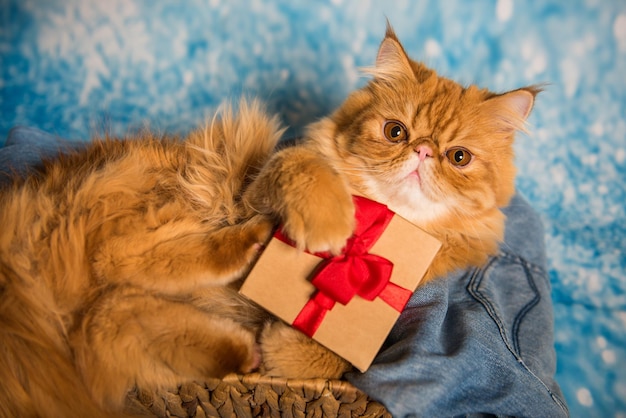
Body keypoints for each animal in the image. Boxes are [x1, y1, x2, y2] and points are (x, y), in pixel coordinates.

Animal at [0, 24, 536, 416]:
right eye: (395, 132)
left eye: (459, 157)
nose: (423, 152)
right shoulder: (263, 181)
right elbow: (307, 170)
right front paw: (331, 226)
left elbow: (337, 358)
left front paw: (284, 347)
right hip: (154, 202)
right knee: (125, 261)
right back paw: (250, 247)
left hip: (109, 305)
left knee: (115, 307)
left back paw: (243, 347)